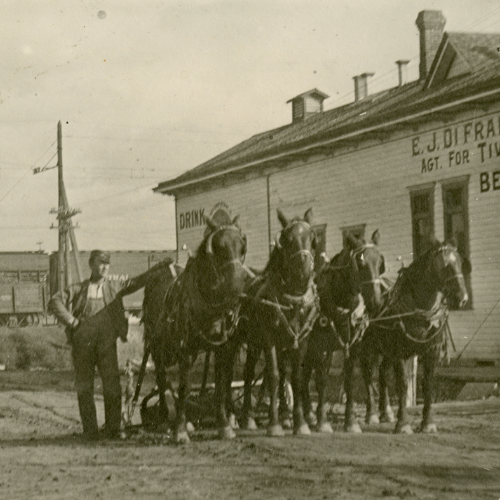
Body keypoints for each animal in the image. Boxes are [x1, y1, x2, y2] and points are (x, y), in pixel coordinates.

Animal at [144, 214, 247, 442]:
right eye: (218, 247)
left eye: (241, 246)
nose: (237, 285)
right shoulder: (186, 350)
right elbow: (184, 387)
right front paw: (180, 429)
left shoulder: (223, 348)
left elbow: (220, 386)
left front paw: (224, 425)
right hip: (156, 345)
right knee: (161, 377)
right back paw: (164, 417)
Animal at [239, 207, 320, 434]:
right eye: (287, 239)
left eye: (312, 237)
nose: (304, 271)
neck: (293, 298)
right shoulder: (268, 339)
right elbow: (274, 375)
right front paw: (274, 424)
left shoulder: (302, 339)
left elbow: (297, 378)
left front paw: (300, 422)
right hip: (254, 342)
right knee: (249, 373)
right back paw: (248, 417)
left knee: (283, 373)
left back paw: (284, 414)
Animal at [364, 238, 468, 434]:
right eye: (444, 266)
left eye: (460, 262)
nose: (463, 298)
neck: (420, 310)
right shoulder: (400, 352)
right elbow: (403, 384)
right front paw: (403, 423)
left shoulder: (431, 350)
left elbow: (427, 384)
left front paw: (427, 422)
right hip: (366, 348)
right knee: (368, 374)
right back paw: (371, 414)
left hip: (386, 349)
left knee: (382, 373)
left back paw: (386, 412)